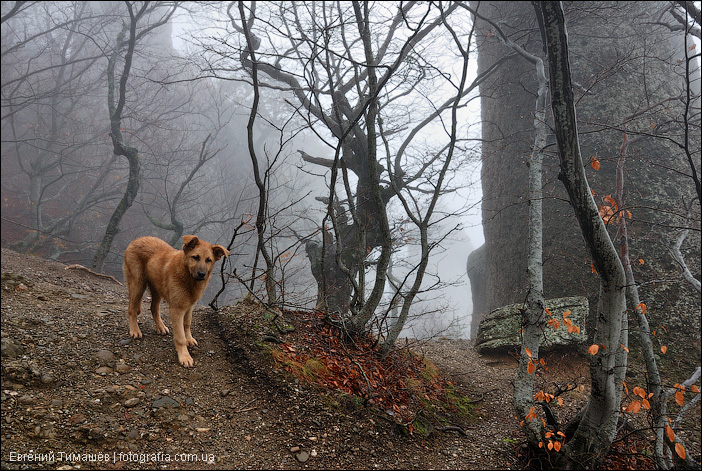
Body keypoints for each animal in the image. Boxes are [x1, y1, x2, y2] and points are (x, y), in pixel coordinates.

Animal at [123, 236, 228, 368]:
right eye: (195, 257)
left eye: (209, 260)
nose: (202, 274)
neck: (188, 279)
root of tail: (137, 240)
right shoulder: (177, 310)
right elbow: (180, 337)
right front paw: (185, 356)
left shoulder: (189, 306)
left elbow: (187, 324)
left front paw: (189, 339)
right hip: (137, 283)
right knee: (131, 308)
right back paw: (135, 330)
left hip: (157, 288)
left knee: (153, 308)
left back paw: (161, 327)